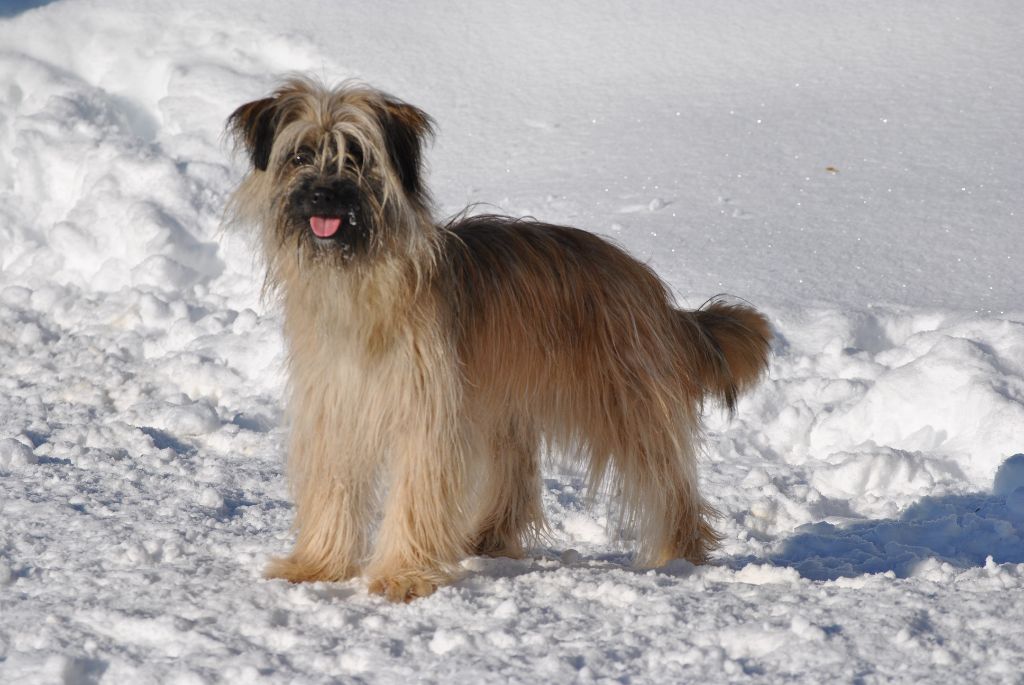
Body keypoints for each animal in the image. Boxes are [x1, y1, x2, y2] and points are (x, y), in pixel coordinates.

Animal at [224, 77, 770, 602]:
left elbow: (415, 492)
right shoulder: (336, 409)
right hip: (507, 405)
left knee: (665, 476)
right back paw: (487, 538)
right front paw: (317, 566)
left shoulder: (427, 411)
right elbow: (332, 487)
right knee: (518, 478)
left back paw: (681, 554)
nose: (323, 195)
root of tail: (646, 284)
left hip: (622, 399)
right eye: (300, 155)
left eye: (356, 155)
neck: (360, 286)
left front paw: (403, 576)